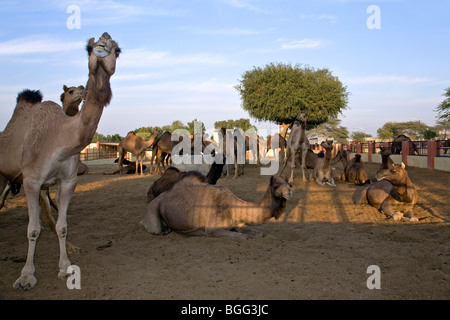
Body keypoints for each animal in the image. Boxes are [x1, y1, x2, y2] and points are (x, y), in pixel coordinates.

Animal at [0, 32, 120, 290]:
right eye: (88, 48)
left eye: (118, 50)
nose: (102, 45)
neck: (59, 137)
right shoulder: (31, 180)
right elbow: (32, 230)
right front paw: (26, 276)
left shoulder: (67, 180)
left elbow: (62, 226)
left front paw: (65, 267)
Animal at [142, 174, 294, 239]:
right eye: (276, 186)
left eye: (289, 183)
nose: (289, 191)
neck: (234, 208)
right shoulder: (212, 230)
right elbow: (244, 237)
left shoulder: (239, 224)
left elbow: (259, 234)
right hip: (152, 208)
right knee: (152, 227)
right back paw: (163, 229)